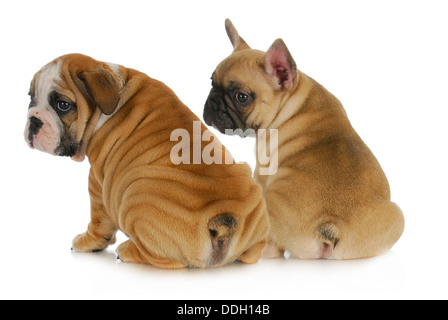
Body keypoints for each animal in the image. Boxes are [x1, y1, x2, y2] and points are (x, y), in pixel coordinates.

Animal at [24, 53, 270, 268]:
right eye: (31, 98)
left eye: (63, 105)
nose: (34, 120)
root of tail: (223, 221)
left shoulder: (97, 181)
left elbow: (98, 221)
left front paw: (88, 242)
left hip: (134, 197)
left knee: (169, 261)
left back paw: (127, 250)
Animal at [205, 19, 404, 260]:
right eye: (211, 82)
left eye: (241, 97)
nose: (212, 103)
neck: (293, 102)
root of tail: (330, 226)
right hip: (397, 216)